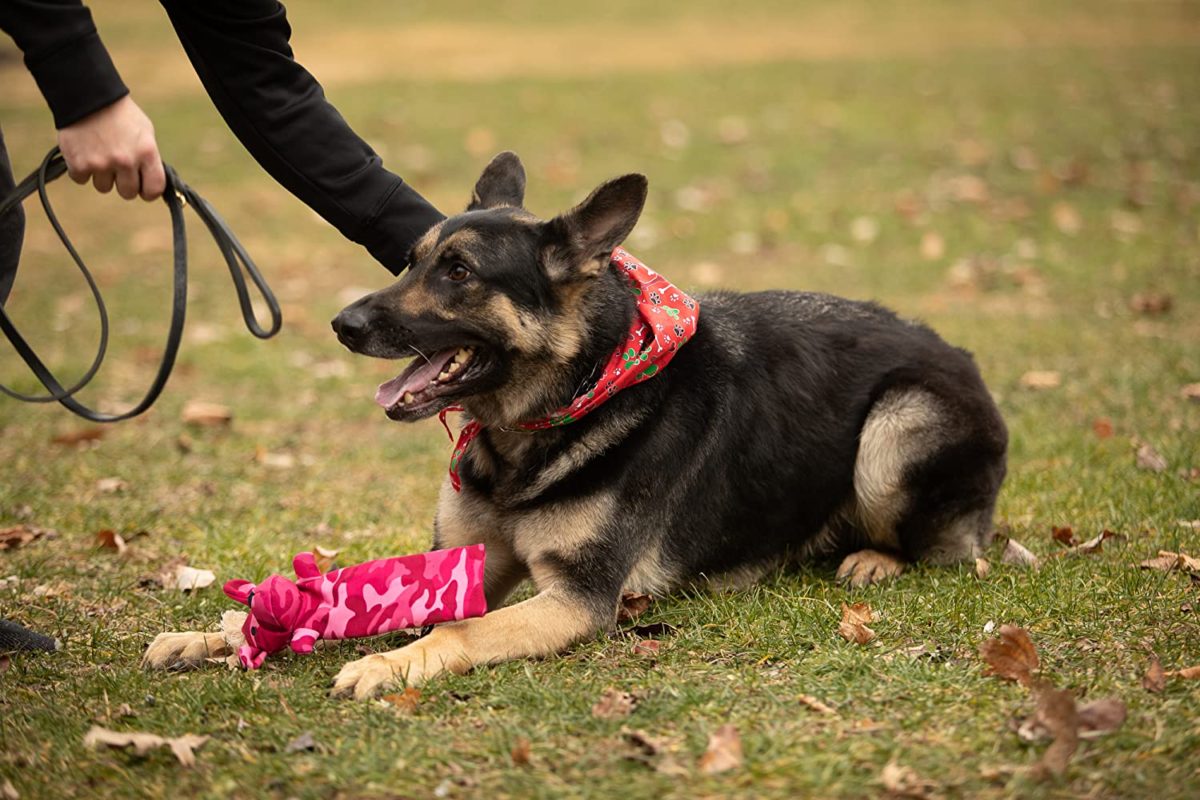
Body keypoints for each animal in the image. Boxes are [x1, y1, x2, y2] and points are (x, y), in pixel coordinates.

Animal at [142, 153, 1003, 695]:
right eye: (411, 260)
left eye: (459, 272)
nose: (341, 325)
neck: (548, 418)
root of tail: (958, 351)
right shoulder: (464, 564)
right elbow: (331, 595)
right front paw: (225, 634)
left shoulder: (577, 599)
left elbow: (457, 634)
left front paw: (391, 664)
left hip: (899, 423)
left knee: (948, 547)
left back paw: (873, 560)